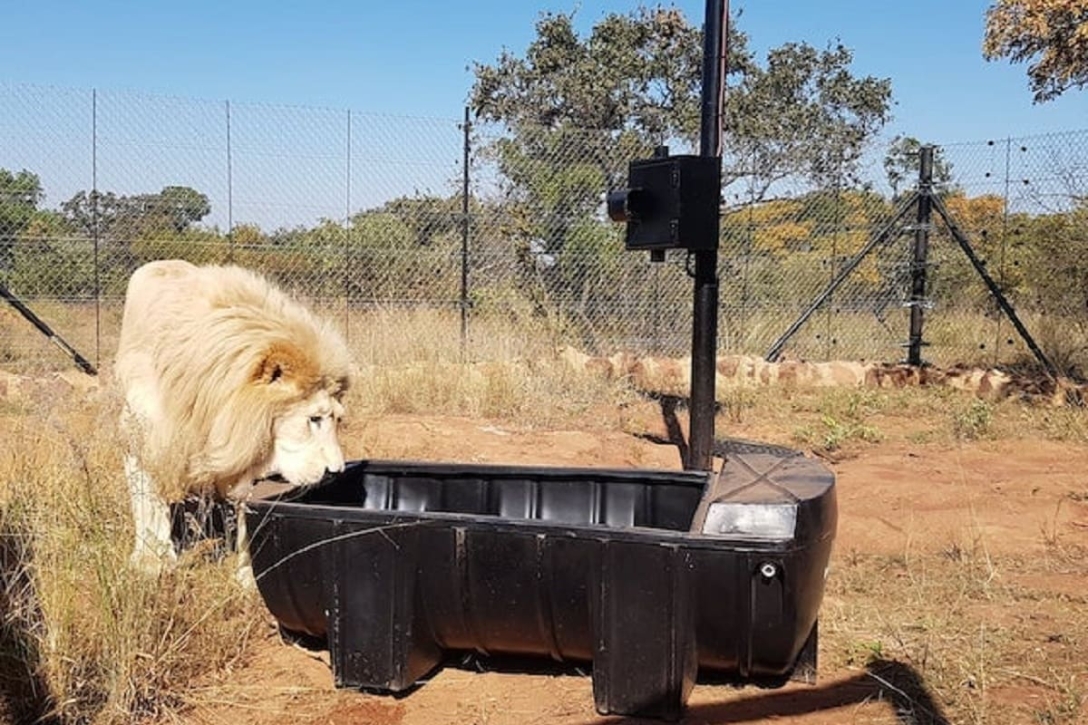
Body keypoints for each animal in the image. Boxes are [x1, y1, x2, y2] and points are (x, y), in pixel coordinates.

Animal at [114, 260, 352, 583]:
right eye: (313, 419)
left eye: (337, 420)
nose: (336, 473)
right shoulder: (141, 437)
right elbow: (146, 502)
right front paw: (152, 561)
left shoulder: (245, 456)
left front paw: (249, 576)